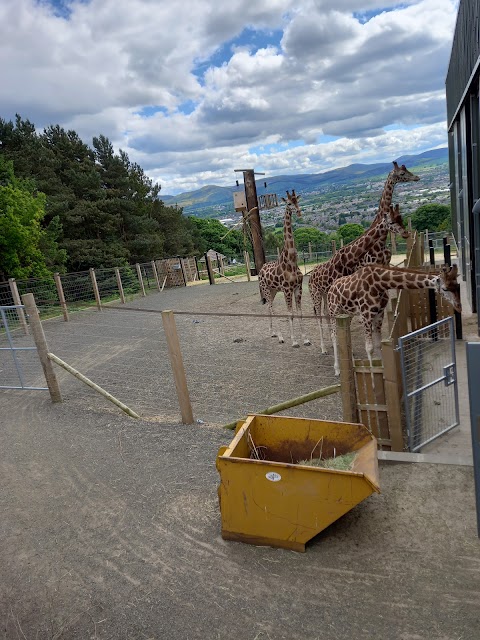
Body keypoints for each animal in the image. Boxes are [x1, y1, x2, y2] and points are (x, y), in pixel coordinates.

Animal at [258, 189, 312, 348]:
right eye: (288, 203)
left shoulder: (298, 287)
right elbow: (290, 313)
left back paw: (273, 333)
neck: (291, 262)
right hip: (265, 289)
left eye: (297, 201)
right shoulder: (287, 289)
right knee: (271, 307)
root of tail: (260, 269)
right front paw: (294, 341)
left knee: (268, 307)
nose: (298, 212)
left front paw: (305, 339)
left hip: (273, 290)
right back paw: (280, 336)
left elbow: (299, 312)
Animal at [310, 205, 406, 356]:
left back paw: (332, 344)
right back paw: (324, 349)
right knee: (319, 315)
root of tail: (310, 275)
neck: (349, 259)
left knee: (326, 313)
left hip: (326, 294)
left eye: (401, 218)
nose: (405, 233)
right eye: (391, 222)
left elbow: (347, 322)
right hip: (316, 294)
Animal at [326, 264, 462, 376]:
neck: (379, 284)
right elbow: (369, 348)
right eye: (445, 289)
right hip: (334, 310)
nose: (459, 307)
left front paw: (383, 373)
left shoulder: (379, 314)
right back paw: (337, 369)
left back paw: (352, 362)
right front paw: (373, 385)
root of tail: (331, 287)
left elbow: (378, 345)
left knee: (345, 332)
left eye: (457, 286)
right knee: (333, 335)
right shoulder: (366, 315)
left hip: (347, 313)